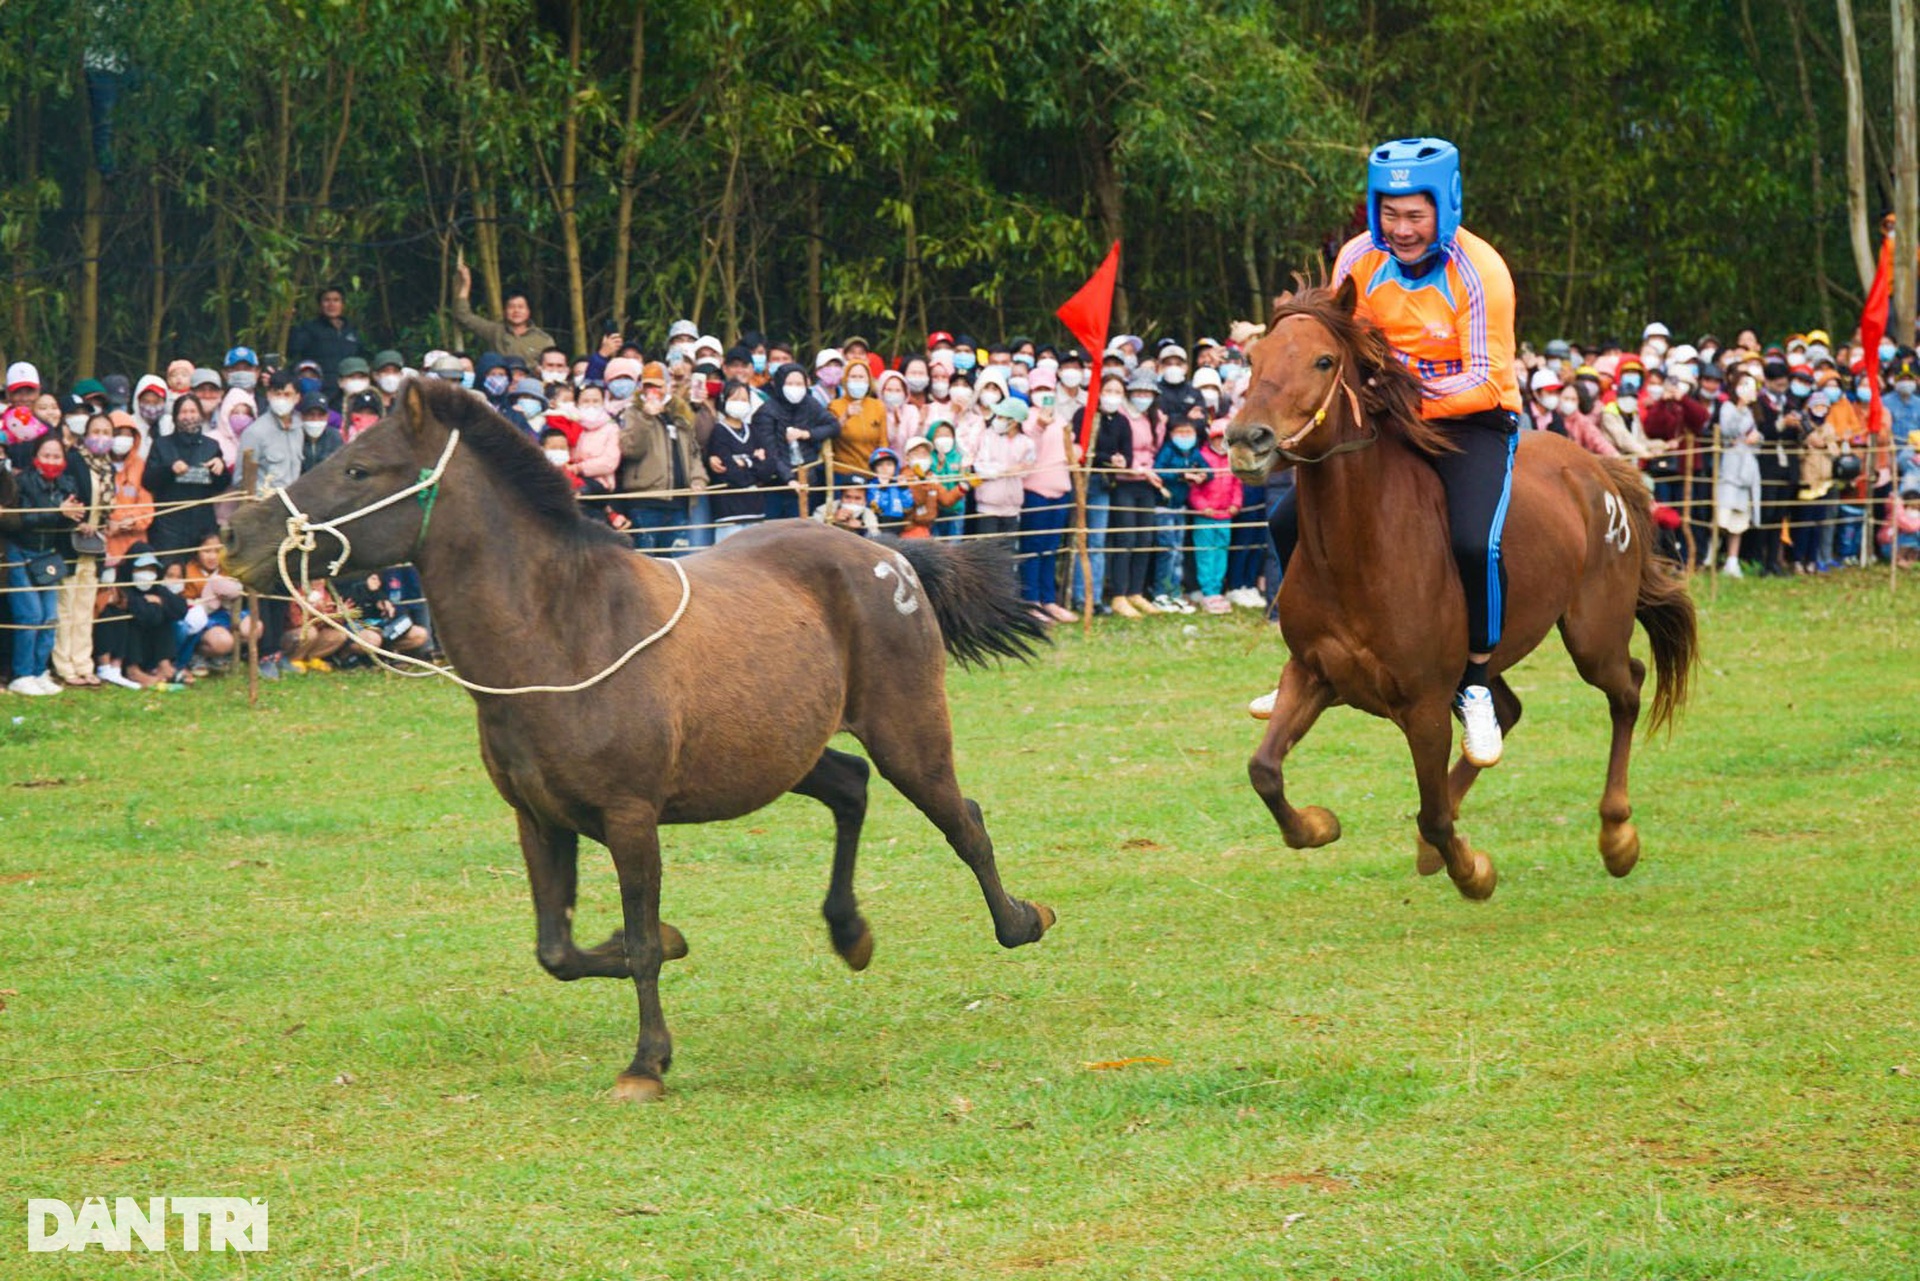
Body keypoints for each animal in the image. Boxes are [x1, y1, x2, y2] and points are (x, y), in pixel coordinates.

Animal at [234, 380, 1067, 1106]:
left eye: (359, 467)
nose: (237, 538)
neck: (562, 635)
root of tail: (890, 557)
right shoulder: (539, 818)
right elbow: (559, 950)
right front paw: (673, 942)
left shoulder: (630, 818)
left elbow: (634, 944)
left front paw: (646, 1061)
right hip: (782, 755)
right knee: (851, 787)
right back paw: (850, 931)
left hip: (907, 731)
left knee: (962, 818)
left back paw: (1021, 921)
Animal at [1228, 280, 1697, 902]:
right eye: (1253, 359)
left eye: (1323, 360)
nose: (1246, 440)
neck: (1361, 549)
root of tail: (1597, 470)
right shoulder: (1311, 675)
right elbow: (1264, 771)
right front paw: (1319, 825)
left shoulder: (1424, 706)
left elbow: (1431, 814)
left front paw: (1474, 871)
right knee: (1509, 711)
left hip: (1592, 636)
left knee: (1628, 688)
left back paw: (1617, 836)